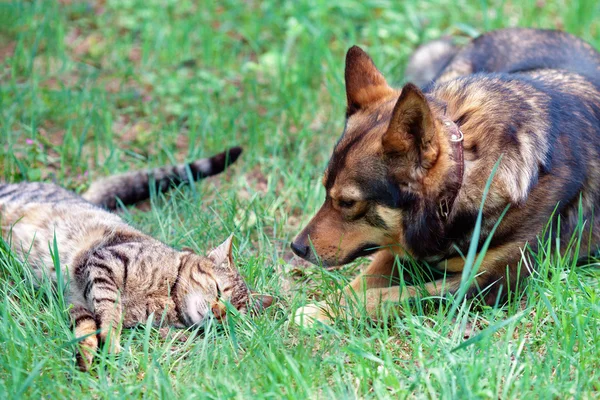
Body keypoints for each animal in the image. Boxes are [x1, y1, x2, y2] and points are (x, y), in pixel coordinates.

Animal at [0, 148, 272, 372]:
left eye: (232, 314)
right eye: (217, 289)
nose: (218, 312)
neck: (166, 297)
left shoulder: (76, 301)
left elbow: (86, 327)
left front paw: (87, 356)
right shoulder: (105, 261)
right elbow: (111, 310)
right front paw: (111, 342)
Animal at [290, 28, 600, 324]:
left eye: (348, 203)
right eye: (325, 191)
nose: (296, 248)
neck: (463, 179)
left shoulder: (487, 282)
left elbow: (390, 295)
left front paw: (320, 313)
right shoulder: (399, 245)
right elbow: (362, 282)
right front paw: (326, 308)